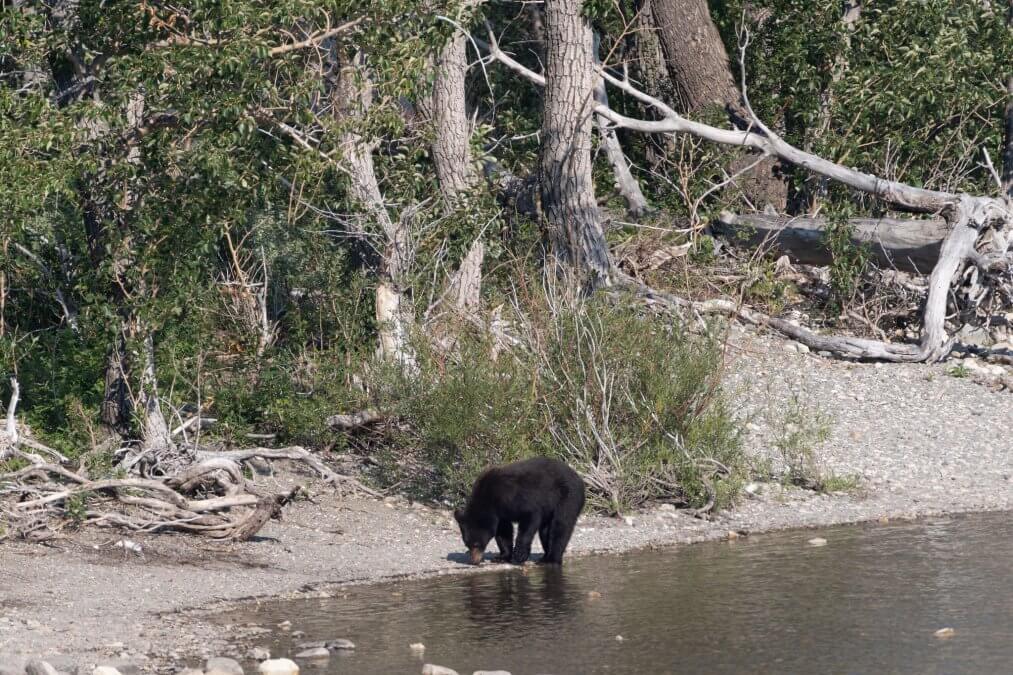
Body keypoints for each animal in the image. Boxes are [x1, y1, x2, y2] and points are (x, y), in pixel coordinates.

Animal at [453, 456, 586, 566]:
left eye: (476, 544)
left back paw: (552, 559)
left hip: (567, 497)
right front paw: (502, 557)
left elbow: (529, 519)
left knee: (561, 525)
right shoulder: (501, 513)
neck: (490, 498)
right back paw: (544, 557)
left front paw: (519, 556)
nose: (474, 561)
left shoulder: (516, 498)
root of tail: (578, 477)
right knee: (545, 530)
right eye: (467, 544)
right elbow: (504, 531)